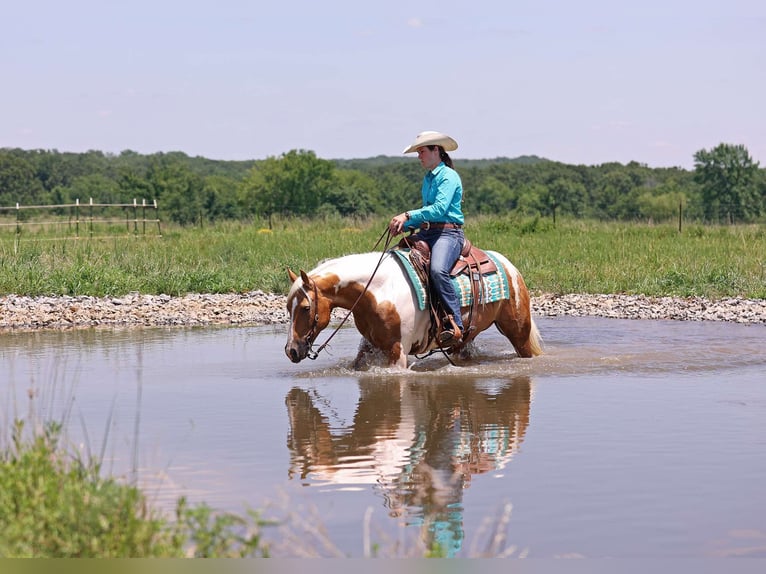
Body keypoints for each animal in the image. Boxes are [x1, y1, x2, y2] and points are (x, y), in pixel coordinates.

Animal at [284, 248, 544, 368]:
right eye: (288, 307)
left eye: (305, 308)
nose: (291, 351)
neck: (378, 291)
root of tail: (508, 265)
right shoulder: (369, 345)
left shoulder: (398, 351)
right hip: (465, 338)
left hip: (518, 332)